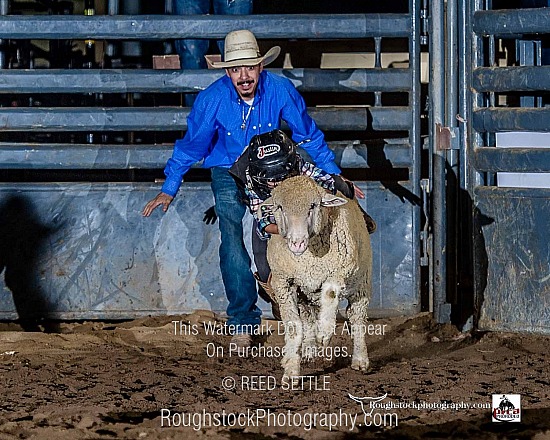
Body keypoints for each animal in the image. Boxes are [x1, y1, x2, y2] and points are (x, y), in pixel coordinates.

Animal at [260, 175, 374, 378]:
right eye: (279, 207)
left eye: (313, 205)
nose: (297, 243)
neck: (309, 258)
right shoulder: (283, 283)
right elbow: (293, 326)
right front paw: (291, 370)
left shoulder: (339, 272)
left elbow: (330, 295)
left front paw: (324, 333)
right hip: (304, 293)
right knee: (307, 318)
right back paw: (308, 350)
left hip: (362, 283)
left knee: (357, 318)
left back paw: (360, 360)